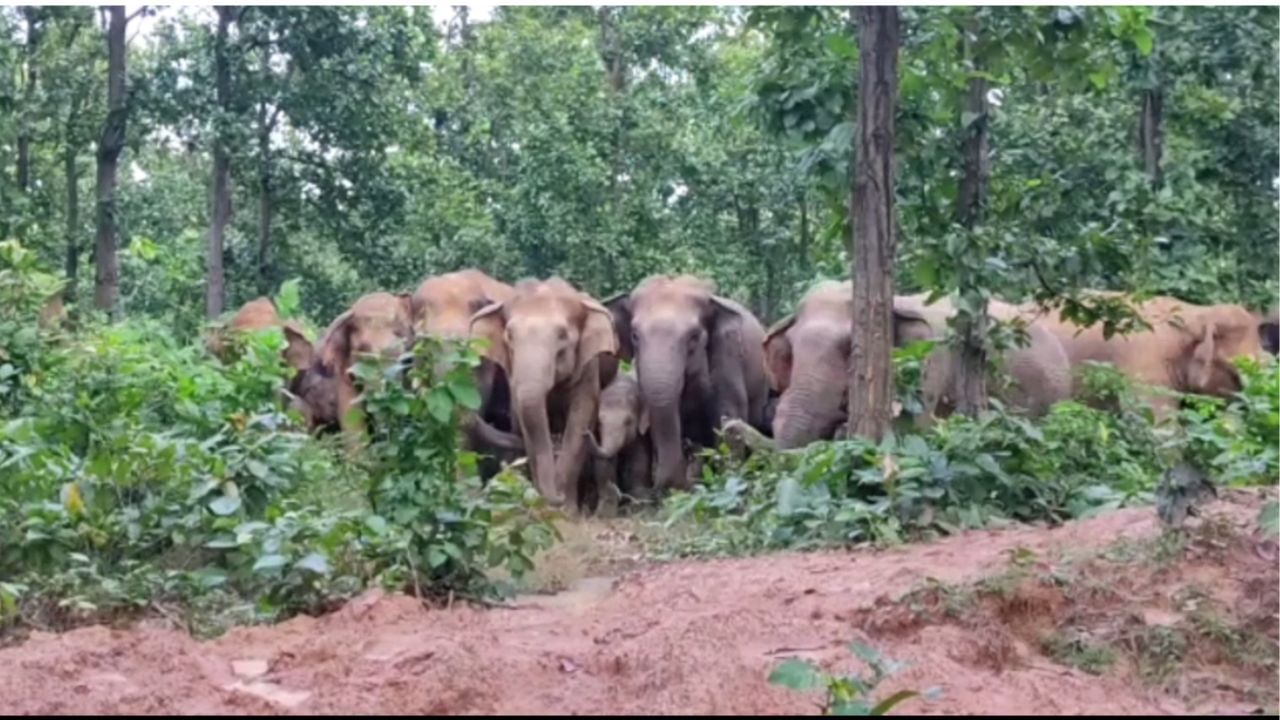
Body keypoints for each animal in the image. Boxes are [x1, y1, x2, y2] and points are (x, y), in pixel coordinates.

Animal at [471, 274, 619, 504]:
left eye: (562, 335)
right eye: (509, 336)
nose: (557, 495)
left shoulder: (588, 367)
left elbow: (580, 418)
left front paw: (567, 507)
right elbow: (527, 425)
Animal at [586, 368, 655, 515]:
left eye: (628, 421)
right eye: (599, 422)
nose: (585, 432)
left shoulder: (642, 433)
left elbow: (639, 460)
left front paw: (639, 508)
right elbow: (603, 465)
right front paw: (604, 514)